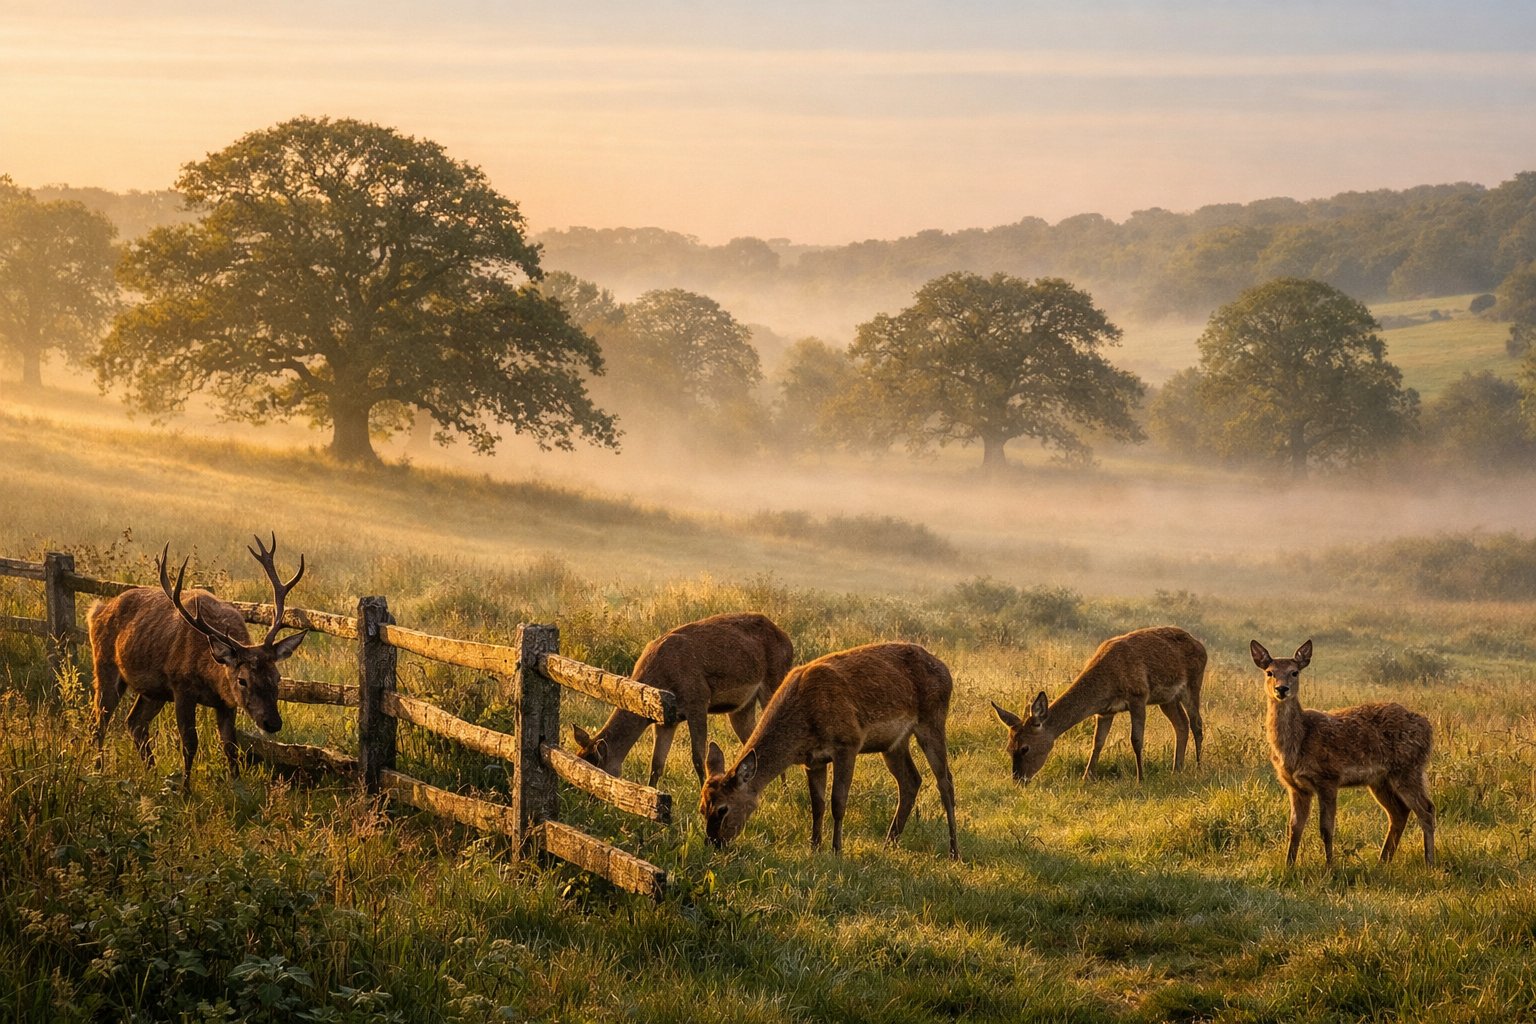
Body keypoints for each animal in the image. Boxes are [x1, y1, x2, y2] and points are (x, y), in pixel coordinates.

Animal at [88, 536, 309, 788]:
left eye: (278, 677)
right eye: (242, 680)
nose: (273, 723)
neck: (210, 675)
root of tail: (96, 609)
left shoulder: (226, 702)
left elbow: (230, 746)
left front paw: (237, 786)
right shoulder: (182, 688)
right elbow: (190, 743)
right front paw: (185, 789)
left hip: (154, 691)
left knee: (134, 723)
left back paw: (152, 773)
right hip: (104, 665)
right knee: (99, 721)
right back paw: (97, 770)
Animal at [571, 612, 794, 787]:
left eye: (597, 769)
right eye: (580, 757)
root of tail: (788, 640)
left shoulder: (698, 701)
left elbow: (698, 758)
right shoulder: (666, 721)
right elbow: (657, 764)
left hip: (776, 680)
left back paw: (784, 790)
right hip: (741, 707)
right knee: (752, 741)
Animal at [699, 641, 959, 859]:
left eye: (723, 809)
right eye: (702, 808)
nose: (713, 843)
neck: (803, 724)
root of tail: (946, 670)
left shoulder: (848, 743)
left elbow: (838, 802)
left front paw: (836, 850)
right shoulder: (813, 759)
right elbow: (817, 805)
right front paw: (814, 847)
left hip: (933, 719)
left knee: (945, 782)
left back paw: (954, 851)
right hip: (894, 743)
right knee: (911, 780)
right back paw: (889, 843)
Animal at [991, 625, 1206, 785]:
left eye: (1025, 748)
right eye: (1008, 748)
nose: (1019, 780)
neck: (1108, 682)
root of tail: (1201, 646)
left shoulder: (1138, 695)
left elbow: (1136, 739)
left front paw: (1140, 778)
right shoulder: (1105, 711)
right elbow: (1097, 742)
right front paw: (1086, 777)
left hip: (1193, 683)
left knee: (1197, 724)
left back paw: (1198, 767)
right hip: (1168, 699)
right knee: (1181, 724)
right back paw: (1176, 769)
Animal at [1250, 639, 1436, 867]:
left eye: (1294, 672)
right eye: (1269, 672)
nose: (1281, 689)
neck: (1298, 743)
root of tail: (1428, 727)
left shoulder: (1328, 778)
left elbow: (1326, 828)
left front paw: (1330, 866)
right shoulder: (1296, 786)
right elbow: (1294, 828)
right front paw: (1289, 866)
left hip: (1408, 769)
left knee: (1427, 810)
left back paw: (1428, 862)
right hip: (1380, 780)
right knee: (1399, 813)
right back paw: (1382, 861)